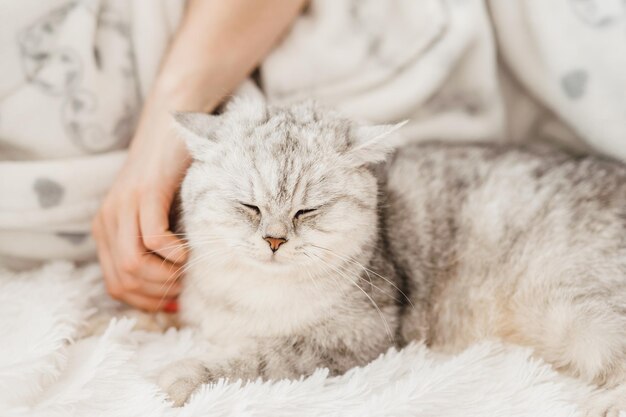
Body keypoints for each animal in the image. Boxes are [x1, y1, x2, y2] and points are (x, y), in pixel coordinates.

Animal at [157, 97, 624, 412]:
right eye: (249, 206)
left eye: (308, 210)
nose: (274, 240)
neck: (252, 296)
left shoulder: (357, 334)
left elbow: (255, 358)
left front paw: (178, 376)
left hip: (579, 307)